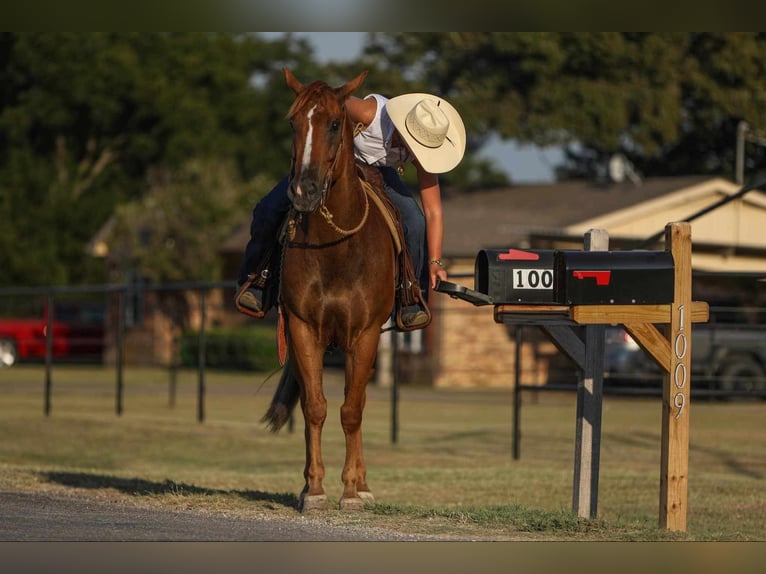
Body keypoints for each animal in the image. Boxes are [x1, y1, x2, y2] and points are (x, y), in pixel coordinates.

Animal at [262, 68, 400, 512]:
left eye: (335, 124)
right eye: (293, 122)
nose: (303, 190)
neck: (337, 249)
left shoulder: (366, 334)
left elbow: (351, 411)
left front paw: (352, 489)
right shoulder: (303, 329)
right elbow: (316, 408)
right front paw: (314, 488)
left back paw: (363, 484)